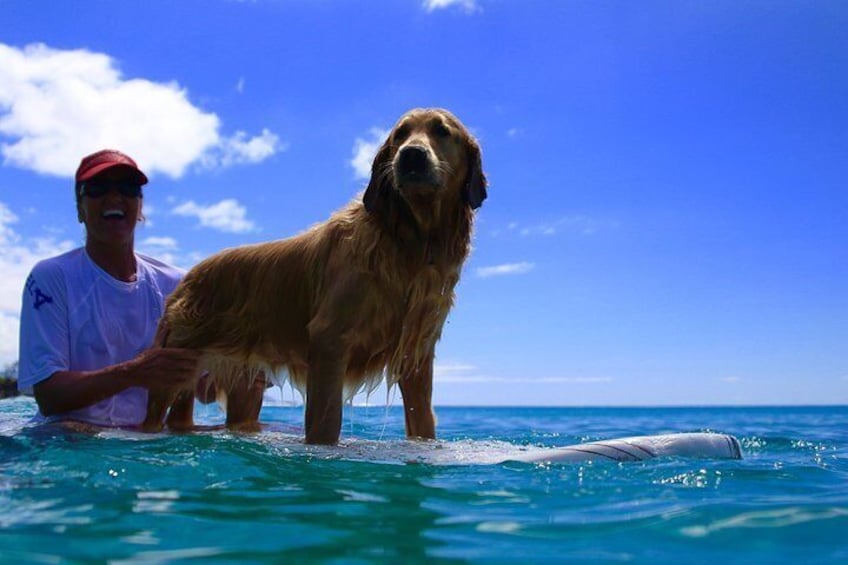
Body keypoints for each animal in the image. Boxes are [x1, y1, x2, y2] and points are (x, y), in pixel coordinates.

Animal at [142, 108, 486, 442]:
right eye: (400, 134)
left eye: (442, 131)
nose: (411, 155)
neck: (410, 241)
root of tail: (187, 278)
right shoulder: (329, 338)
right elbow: (326, 423)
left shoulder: (416, 352)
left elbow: (423, 421)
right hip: (173, 362)